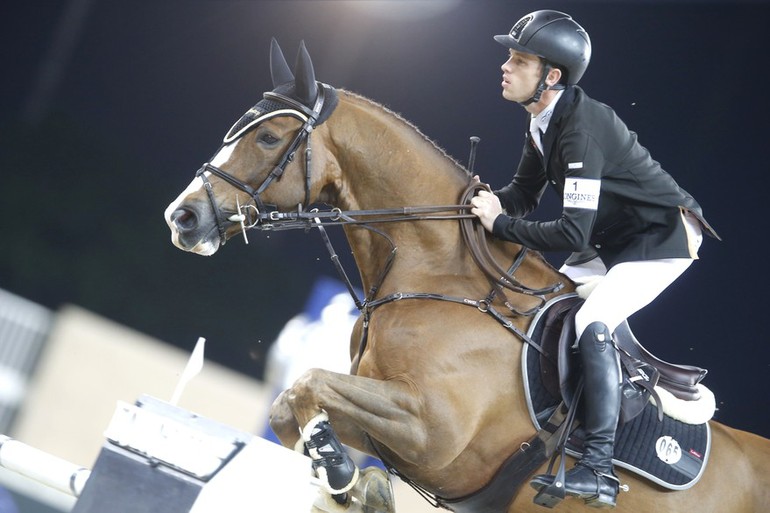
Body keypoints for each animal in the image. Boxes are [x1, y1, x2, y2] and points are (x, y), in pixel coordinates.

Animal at [164, 40, 768, 512]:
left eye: (268, 139)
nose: (182, 218)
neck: (439, 276)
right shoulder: (391, 423)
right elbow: (289, 406)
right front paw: (348, 481)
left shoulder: (432, 432)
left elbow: (309, 383)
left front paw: (340, 472)